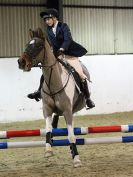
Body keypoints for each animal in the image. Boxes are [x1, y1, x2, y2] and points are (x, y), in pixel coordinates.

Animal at [17, 27, 90, 167]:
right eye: (27, 44)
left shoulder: (67, 111)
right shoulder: (47, 110)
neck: (54, 83)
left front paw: (76, 158)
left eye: (38, 46)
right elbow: (48, 129)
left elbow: (71, 135)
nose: (21, 62)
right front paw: (48, 151)